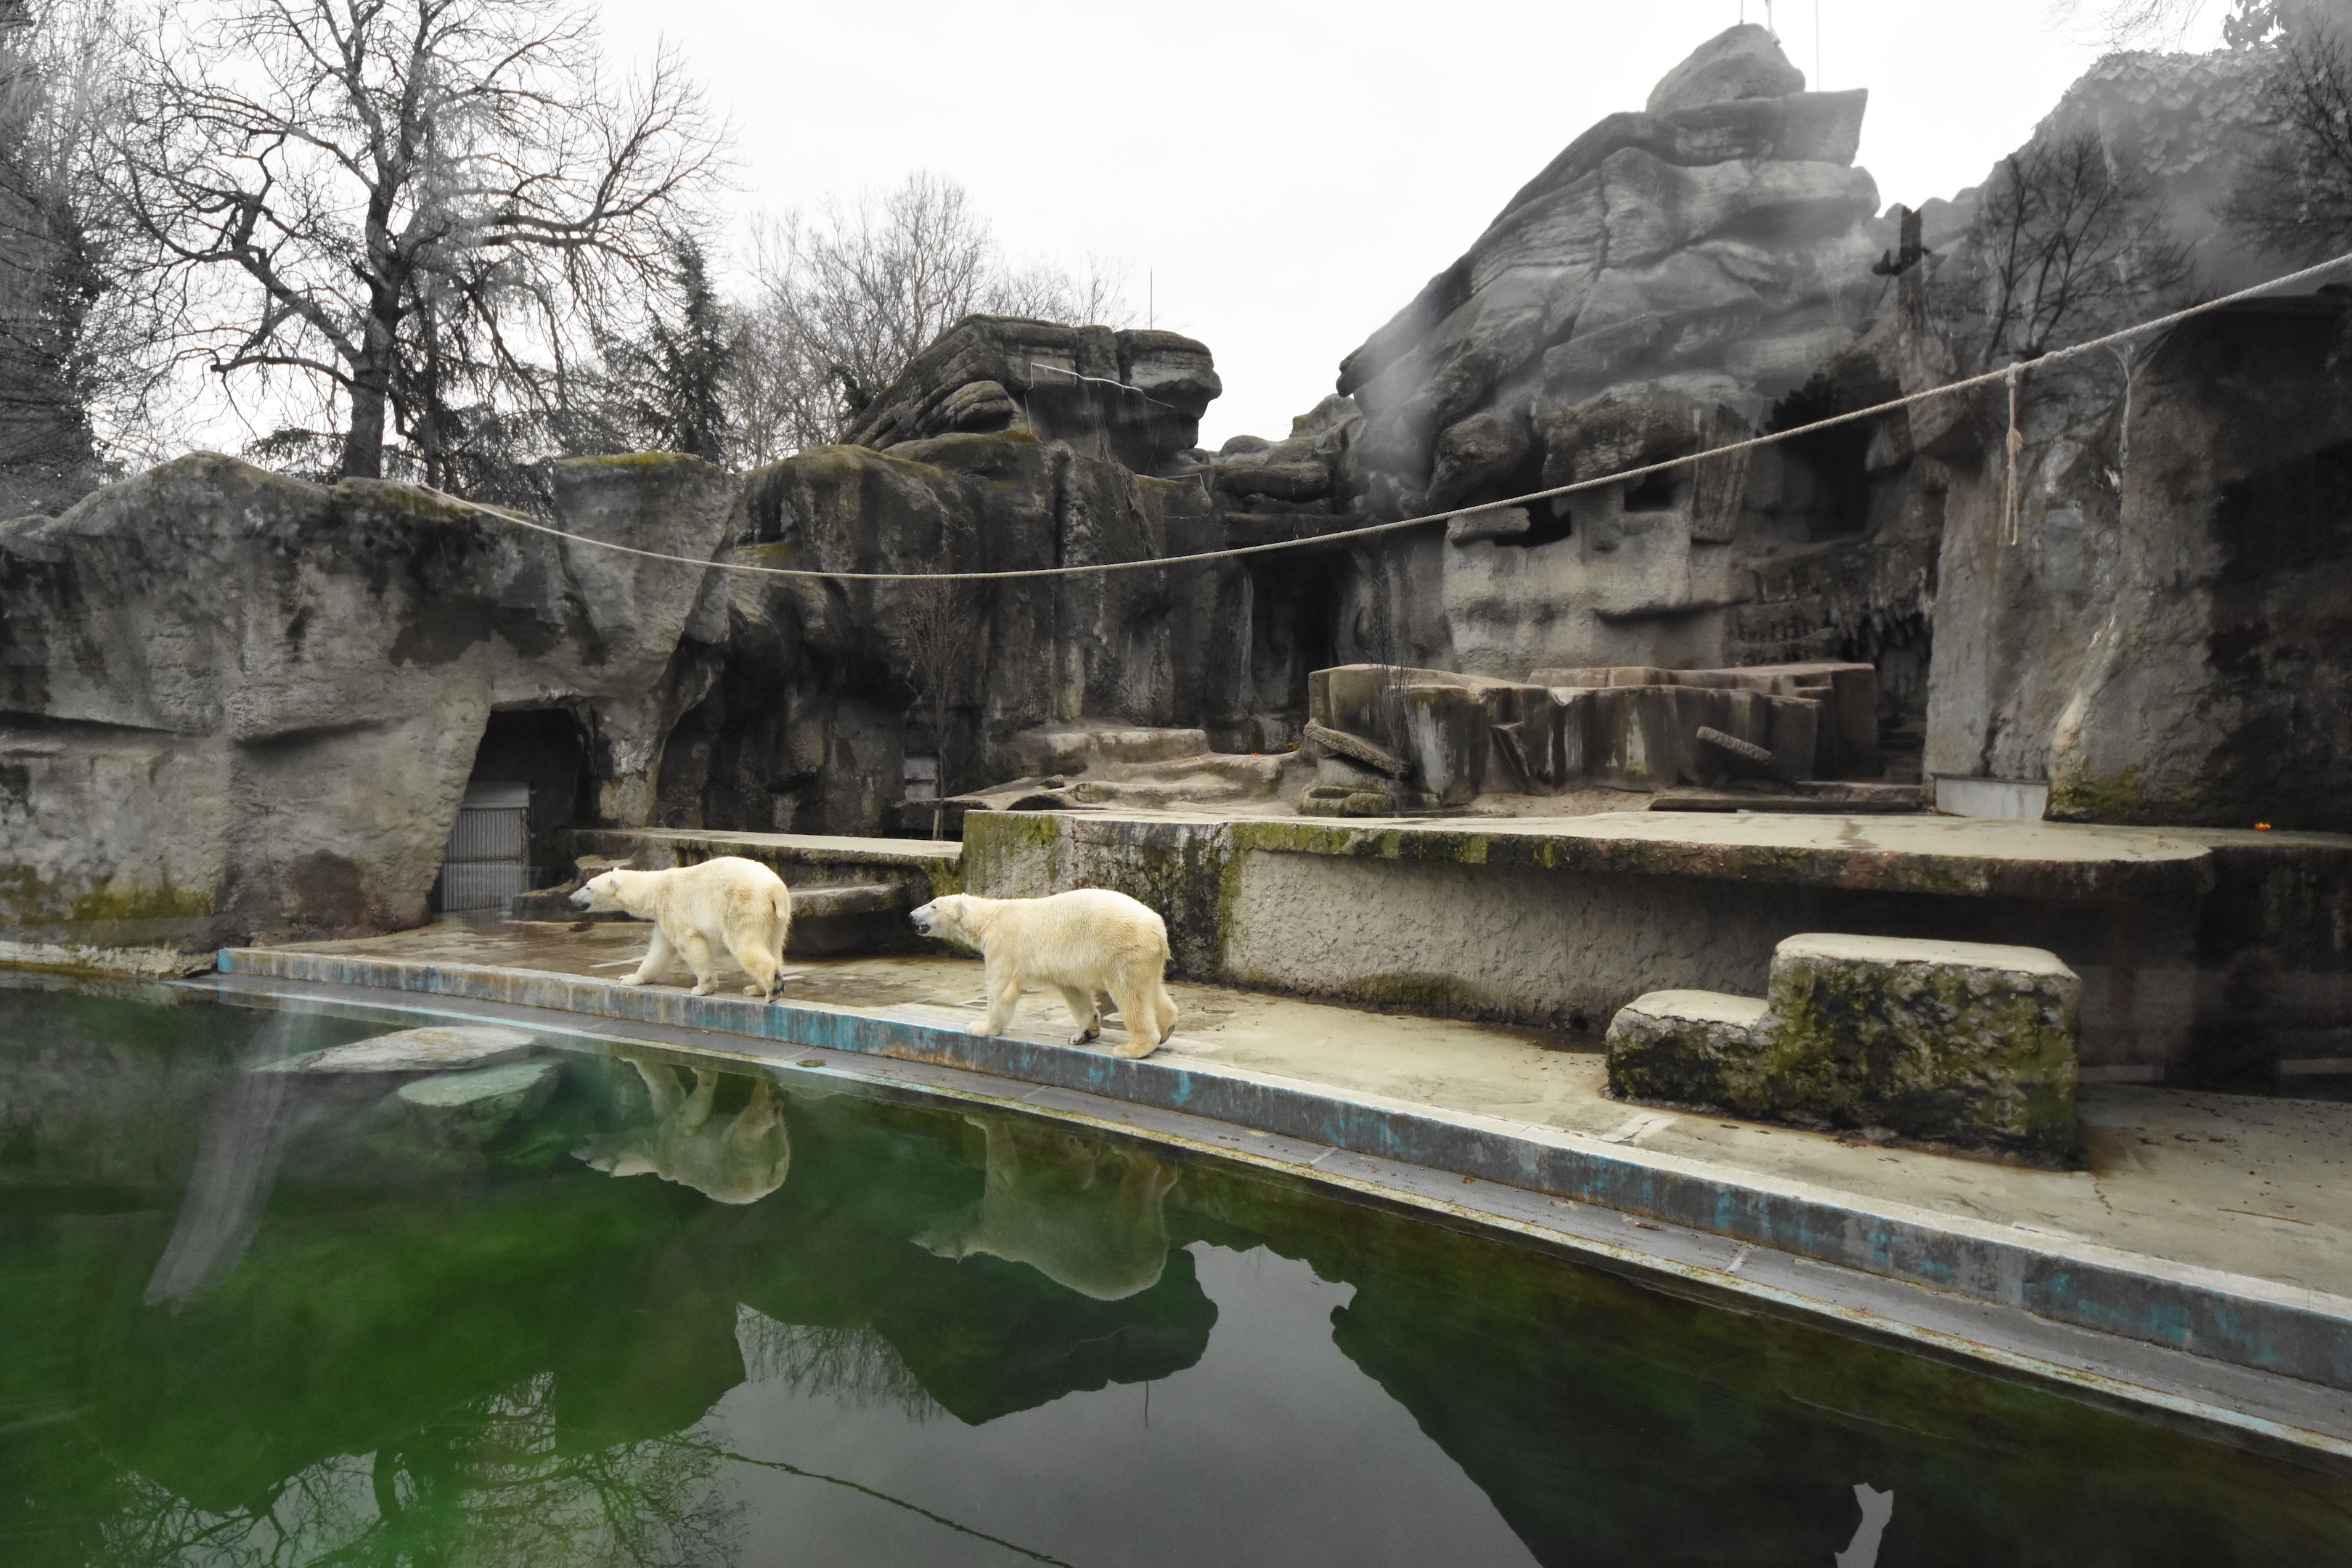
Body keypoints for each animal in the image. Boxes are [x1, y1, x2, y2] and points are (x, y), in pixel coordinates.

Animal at [570, 857, 792, 1000]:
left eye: (588, 887)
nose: (571, 898)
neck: (654, 888)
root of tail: (775, 889)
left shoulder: (671, 906)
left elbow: (687, 942)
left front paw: (703, 988)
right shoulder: (662, 919)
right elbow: (660, 951)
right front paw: (629, 978)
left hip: (742, 905)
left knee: (744, 943)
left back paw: (772, 988)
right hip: (776, 917)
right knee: (772, 944)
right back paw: (756, 988)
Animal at [908, 888, 1178, 1056]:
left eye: (933, 905)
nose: (911, 915)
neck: (990, 916)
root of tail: (1158, 927)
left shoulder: (1004, 946)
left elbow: (1000, 989)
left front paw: (981, 1028)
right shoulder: (1064, 965)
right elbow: (1075, 992)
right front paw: (1084, 1033)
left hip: (1121, 949)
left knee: (1129, 993)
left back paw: (1133, 1048)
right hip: (1145, 956)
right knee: (1150, 987)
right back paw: (1167, 1028)